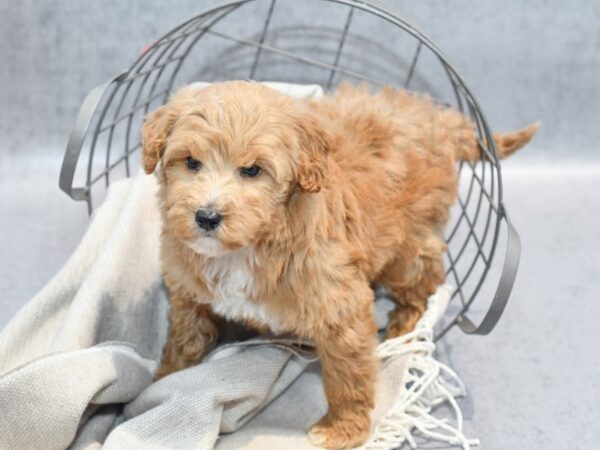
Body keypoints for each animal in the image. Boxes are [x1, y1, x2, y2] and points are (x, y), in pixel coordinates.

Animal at [143, 81, 536, 450]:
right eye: (191, 162)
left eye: (252, 171)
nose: (206, 217)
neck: (247, 247)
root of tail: (433, 117)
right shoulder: (189, 294)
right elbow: (184, 341)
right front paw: (162, 383)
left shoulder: (339, 304)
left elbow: (348, 374)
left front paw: (343, 429)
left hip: (405, 248)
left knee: (427, 279)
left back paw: (404, 326)